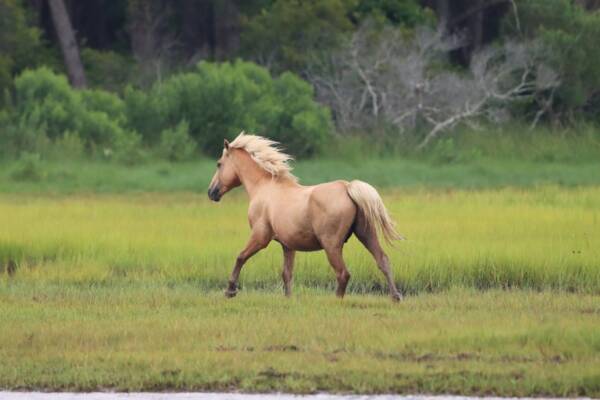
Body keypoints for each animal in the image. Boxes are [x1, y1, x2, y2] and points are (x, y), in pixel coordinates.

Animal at [209, 133, 406, 302]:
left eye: (219, 164)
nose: (211, 192)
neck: (264, 187)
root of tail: (347, 187)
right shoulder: (288, 245)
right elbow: (287, 273)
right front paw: (288, 298)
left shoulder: (260, 236)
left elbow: (240, 257)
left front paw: (230, 290)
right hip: (366, 234)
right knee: (383, 261)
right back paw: (395, 297)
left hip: (331, 244)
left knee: (343, 273)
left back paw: (336, 300)